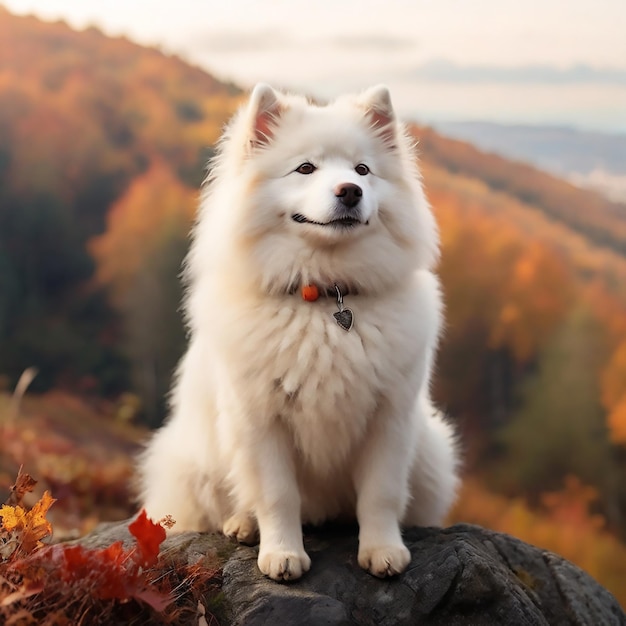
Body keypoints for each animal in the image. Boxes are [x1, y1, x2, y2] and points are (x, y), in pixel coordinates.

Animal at [136, 84, 458, 580]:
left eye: (363, 170)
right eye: (305, 168)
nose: (350, 191)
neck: (326, 298)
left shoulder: (389, 417)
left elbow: (380, 494)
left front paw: (382, 551)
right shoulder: (261, 420)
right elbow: (277, 495)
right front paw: (283, 554)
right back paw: (243, 525)